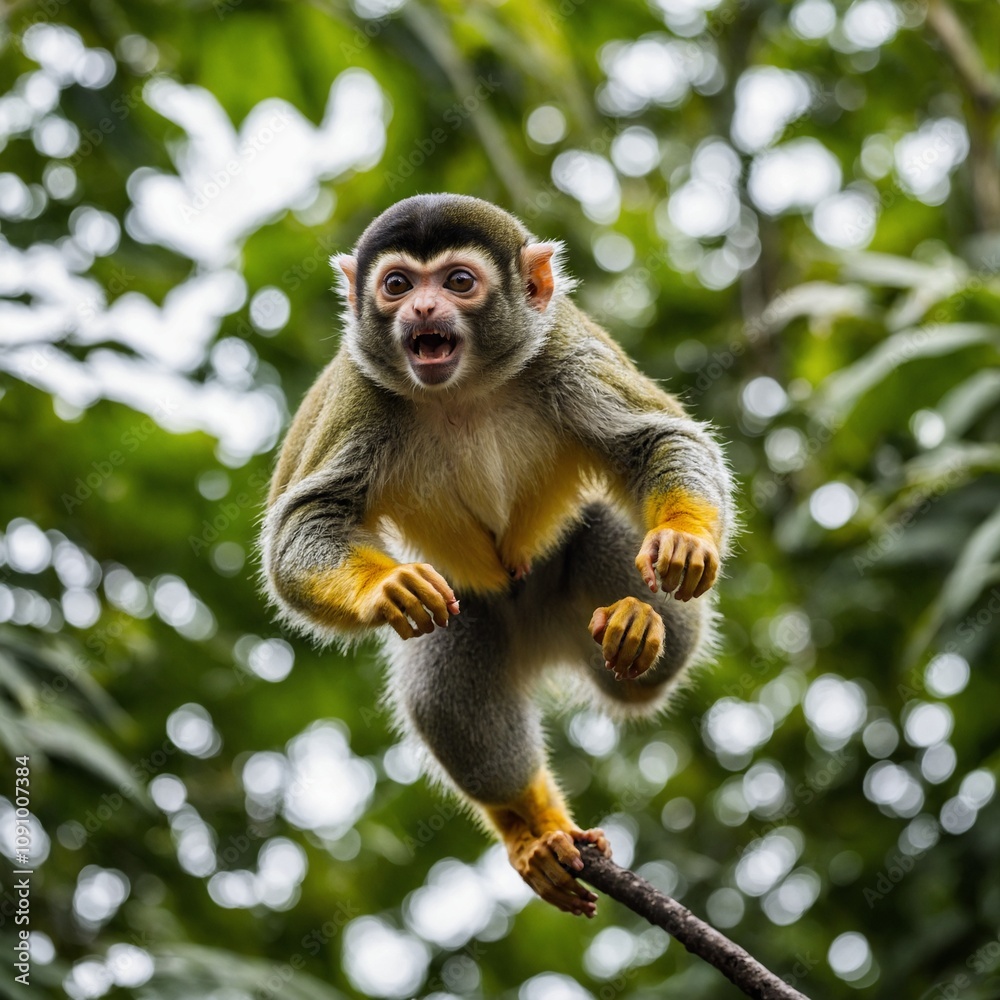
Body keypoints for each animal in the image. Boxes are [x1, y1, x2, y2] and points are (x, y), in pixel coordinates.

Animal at [261, 194, 734, 918]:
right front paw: (385, 588)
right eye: (397, 285)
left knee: (642, 640)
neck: (461, 388)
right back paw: (534, 826)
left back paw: (635, 633)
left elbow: (658, 440)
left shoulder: (562, 350)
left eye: (458, 282)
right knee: (444, 685)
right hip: (469, 598)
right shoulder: (358, 390)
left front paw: (686, 537)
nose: (422, 311)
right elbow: (303, 524)